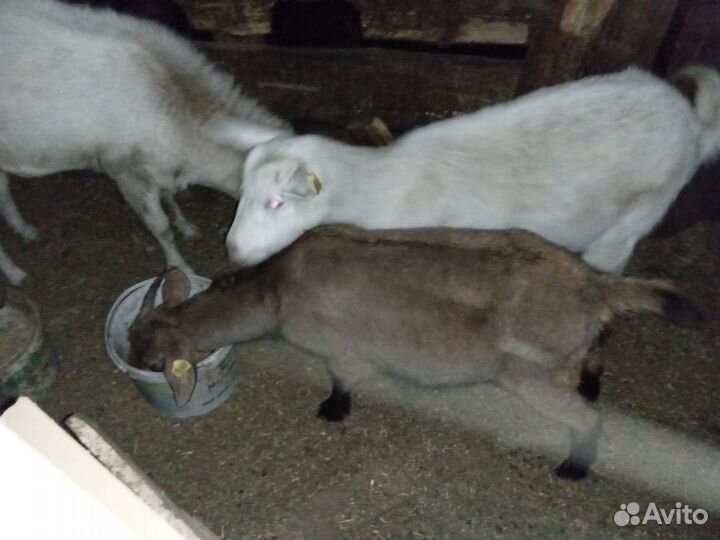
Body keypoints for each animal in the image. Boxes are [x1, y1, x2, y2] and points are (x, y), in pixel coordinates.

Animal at [0, 0, 289, 285]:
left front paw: (186, 226)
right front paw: (180, 266)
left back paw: (25, 230)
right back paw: (15, 273)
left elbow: (170, 197)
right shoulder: (126, 172)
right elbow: (160, 227)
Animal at [128, 226, 702, 479]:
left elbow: (341, 379)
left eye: (153, 362)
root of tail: (594, 287)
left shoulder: (340, 348)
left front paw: (334, 410)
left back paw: (576, 464)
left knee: (585, 417)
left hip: (528, 373)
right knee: (596, 359)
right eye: (135, 334)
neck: (272, 291)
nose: (131, 361)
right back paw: (593, 378)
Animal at [210, 66, 720, 273]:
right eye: (242, 194)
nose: (231, 252)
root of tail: (692, 121)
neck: (377, 185)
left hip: (642, 210)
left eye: (277, 203)